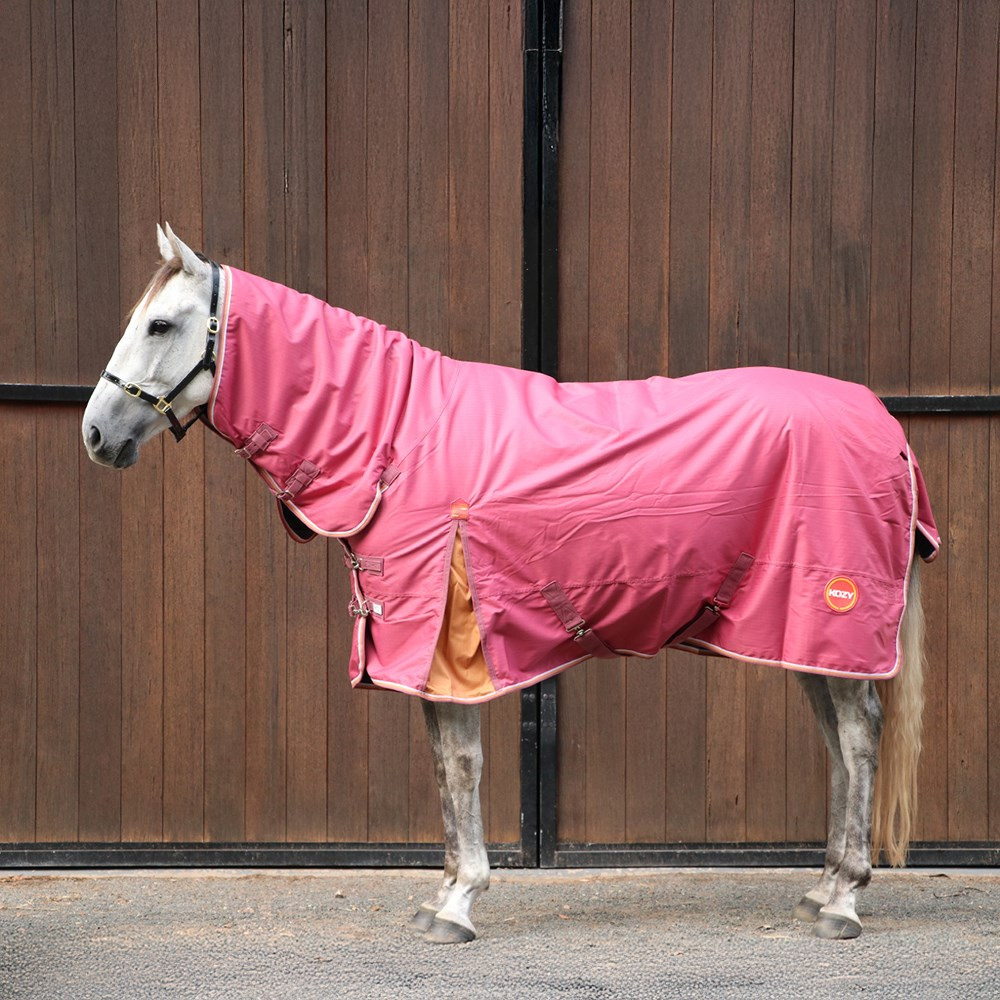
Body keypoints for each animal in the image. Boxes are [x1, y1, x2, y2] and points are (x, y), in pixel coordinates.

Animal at [83, 225, 938, 944]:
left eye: (160, 326)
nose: (96, 434)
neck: (398, 437)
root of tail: (885, 429)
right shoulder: (414, 645)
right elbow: (442, 768)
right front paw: (442, 895)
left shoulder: (444, 642)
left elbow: (461, 766)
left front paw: (458, 905)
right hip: (795, 636)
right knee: (839, 739)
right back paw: (821, 887)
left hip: (829, 619)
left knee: (858, 736)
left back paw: (842, 900)